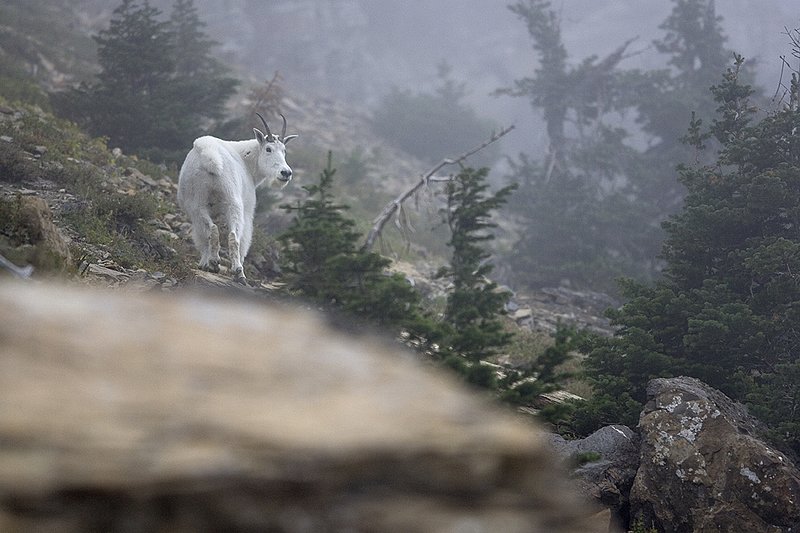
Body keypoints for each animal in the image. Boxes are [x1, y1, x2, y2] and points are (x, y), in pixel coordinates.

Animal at [177, 114, 297, 284]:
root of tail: (209, 155)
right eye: (268, 149)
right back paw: (238, 272)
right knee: (234, 236)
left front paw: (205, 264)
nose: (285, 173)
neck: (247, 161)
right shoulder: (247, 209)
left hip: (197, 203)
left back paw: (214, 262)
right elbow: (245, 239)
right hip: (233, 202)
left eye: (284, 150)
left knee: (211, 230)